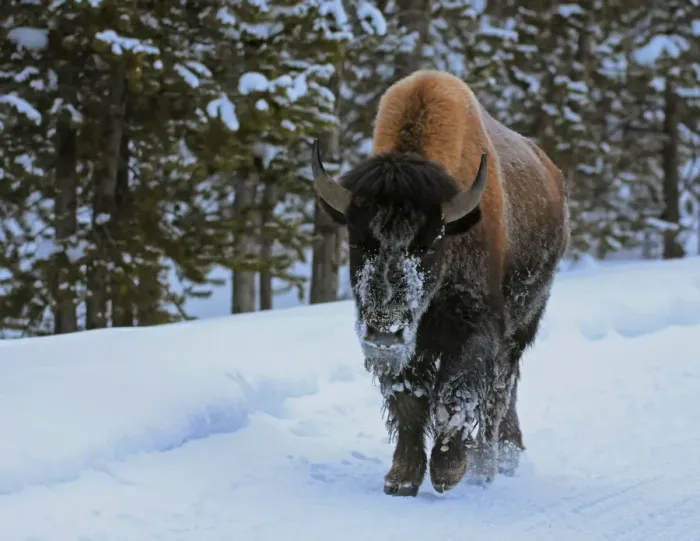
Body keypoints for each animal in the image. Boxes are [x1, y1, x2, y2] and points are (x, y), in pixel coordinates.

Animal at [311, 70, 570, 496]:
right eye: (359, 240)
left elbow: (455, 395)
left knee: (499, 395)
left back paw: (489, 467)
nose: (384, 333)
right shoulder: (410, 347)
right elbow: (409, 401)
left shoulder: (475, 327)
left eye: (428, 243)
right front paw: (401, 479)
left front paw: (447, 472)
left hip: (521, 327)